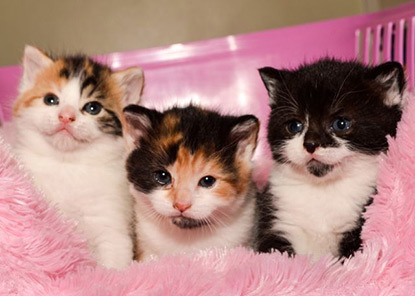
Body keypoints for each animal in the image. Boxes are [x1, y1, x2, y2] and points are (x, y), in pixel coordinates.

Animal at [12, 45, 145, 270]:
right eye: (50, 100)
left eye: (93, 108)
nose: (66, 116)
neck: (67, 164)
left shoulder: (111, 222)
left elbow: (113, 259)